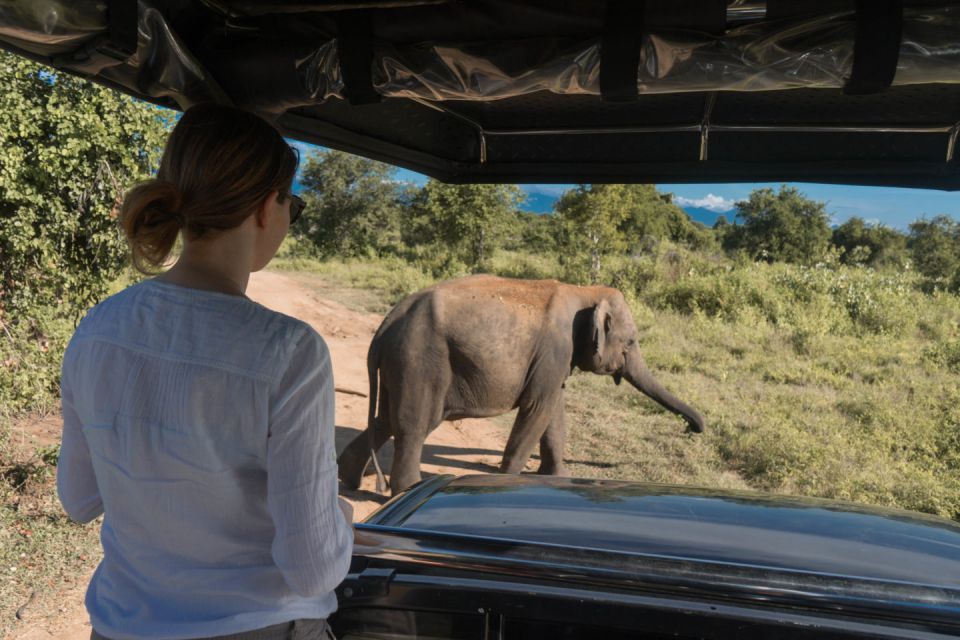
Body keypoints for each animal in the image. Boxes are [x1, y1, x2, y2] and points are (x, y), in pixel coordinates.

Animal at [338, 276, 704, 496]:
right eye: (631, 342)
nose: (692, 429)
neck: (585, 290)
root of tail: (385, 324)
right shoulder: (555, 350)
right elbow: (537, 409)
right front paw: (509, 480)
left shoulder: (556, 360)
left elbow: (553, 411)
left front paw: (557, 477)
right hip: (421, 360)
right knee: (413, 425)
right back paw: (406, 489)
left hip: (401, 364)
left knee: (385, 419)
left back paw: (348, 478)